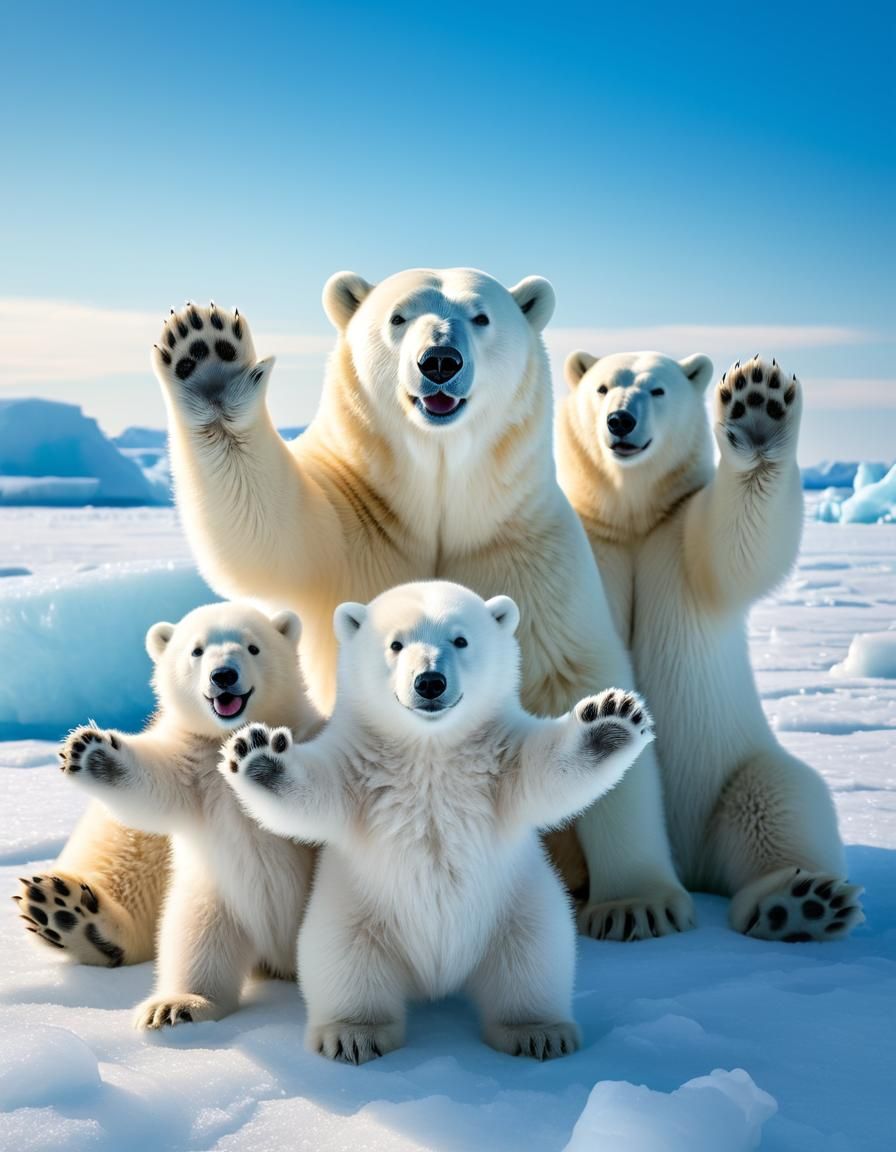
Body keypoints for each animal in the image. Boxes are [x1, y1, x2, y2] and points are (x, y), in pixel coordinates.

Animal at [37, 602, 319, 1025]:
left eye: (253, 647)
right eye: (196, 650)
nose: (224, 675)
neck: (226, 738)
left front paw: (264, 763)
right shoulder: (195, 773)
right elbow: (153, 789)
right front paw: (91, 752)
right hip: (214, 903)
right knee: (196, 948)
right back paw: (179, 1004)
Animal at [138, 273, 695, 948]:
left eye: (481, 316)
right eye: (398, 317)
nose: (440, 361)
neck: (439, 497)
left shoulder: (527, 550)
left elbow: (577, 672)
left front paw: (637, 905)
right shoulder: (352, 521)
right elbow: (265, 526)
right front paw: (208, 359)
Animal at [221, 581, 654, 1063]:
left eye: (460, 639)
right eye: (395, 644)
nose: (430, 681)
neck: (430, 748)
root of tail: (437, 978)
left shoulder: (499, 761)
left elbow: (548, 770)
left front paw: (610, 719)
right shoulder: (359, 769)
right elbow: (315, 792)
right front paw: (259, 754)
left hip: (518, 909)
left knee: (533, 962)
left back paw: (538, 1032)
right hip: (353, 916)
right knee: (345, 966)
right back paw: (353, 1034)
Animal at [556, 350, 863, 941]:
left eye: (657, 390)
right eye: (602, 387)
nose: (620, 421)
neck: (631, 520)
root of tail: (692, 865)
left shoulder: (678, 537)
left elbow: (738, 546)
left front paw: (757, 405)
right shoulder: (592, 541)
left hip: (734, 775)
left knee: (782, 805)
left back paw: (795, 903)